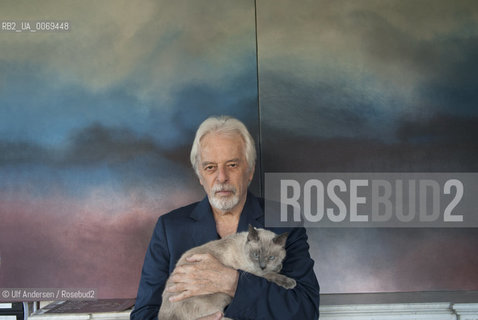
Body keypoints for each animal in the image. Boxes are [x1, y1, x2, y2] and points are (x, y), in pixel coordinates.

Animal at [159, 225, 296, 320]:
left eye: (271, 258)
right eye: (256, 255)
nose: (262, 266)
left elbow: (275, 269)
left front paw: (278, 266)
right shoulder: (251, 272)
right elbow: (272, 275)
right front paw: (289, 282)